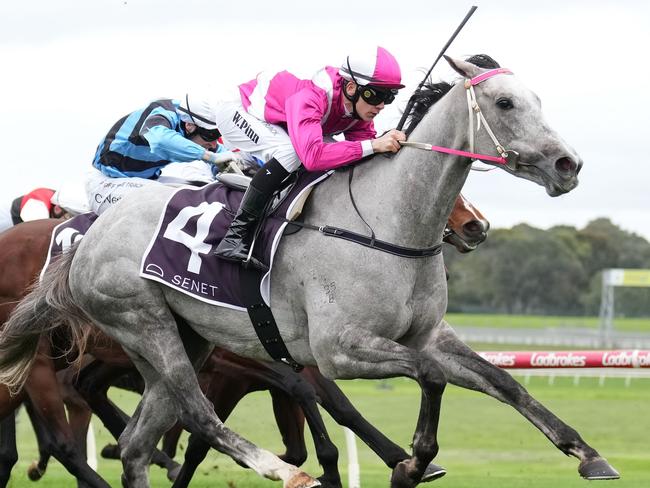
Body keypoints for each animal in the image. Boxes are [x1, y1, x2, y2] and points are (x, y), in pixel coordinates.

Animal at [1, 55, 616, 486]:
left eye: (537, 99)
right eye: (506, 103)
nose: (568, 164)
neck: (387, 222)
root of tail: (88, 238)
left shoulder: (427, 335)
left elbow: (502, 382)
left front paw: (588, 454)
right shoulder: (337, 350)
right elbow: (426, 378)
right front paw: (410, 462)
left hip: (184, 338)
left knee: (136, 444)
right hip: (141, 323)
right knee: (197, 415)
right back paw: (283, 471)